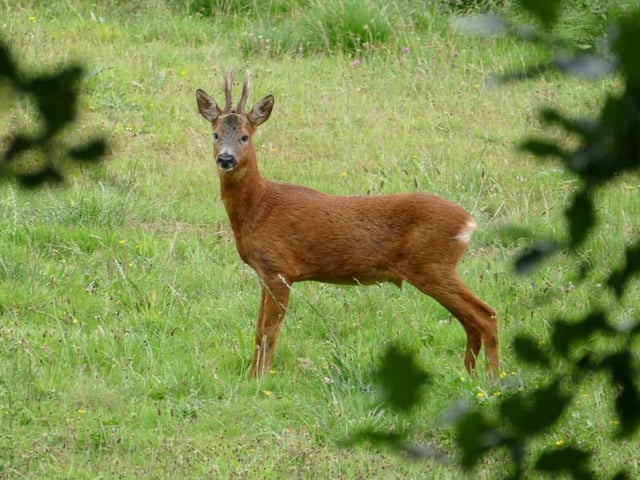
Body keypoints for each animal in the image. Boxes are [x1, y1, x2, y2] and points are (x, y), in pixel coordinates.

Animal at [195, 71, 499, 378]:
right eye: (215, 134)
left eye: (245, 136)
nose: (225, 158)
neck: (258, 208)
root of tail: (469, 221)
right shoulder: (265, 273)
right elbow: (258, 330)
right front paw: (250, 376)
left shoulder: (280, 268)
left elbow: (269, 331)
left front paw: (260, 378)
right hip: (435, 268)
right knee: (472, 320)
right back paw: (469, 372)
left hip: (432, 265)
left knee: (486, 314)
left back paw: (492, 377)